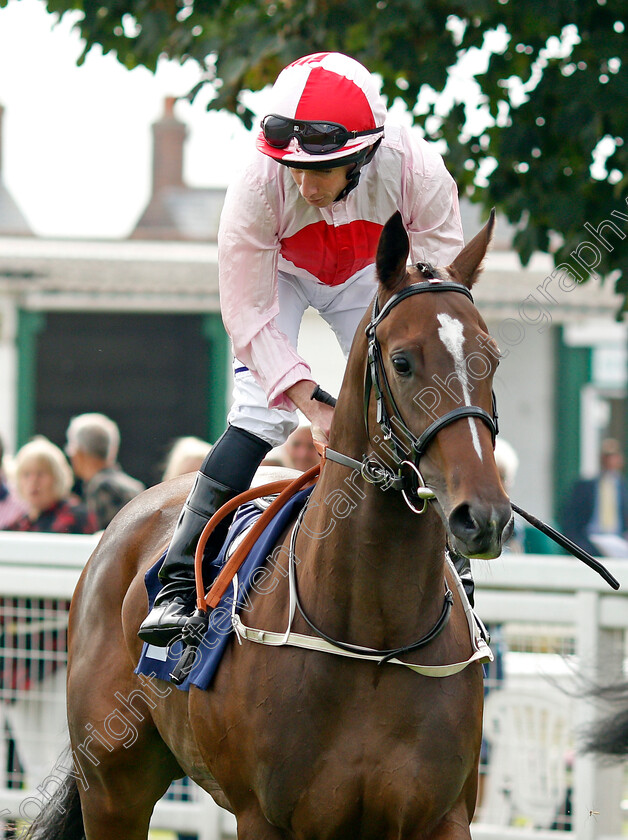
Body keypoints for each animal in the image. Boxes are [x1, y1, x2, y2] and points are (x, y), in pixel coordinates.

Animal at [27, 213, 512, 840]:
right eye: (403, 361)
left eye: (490, 357)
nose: (484, 515)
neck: (375, 636)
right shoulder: (265, 816)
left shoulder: (442, 815)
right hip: (113, 786)